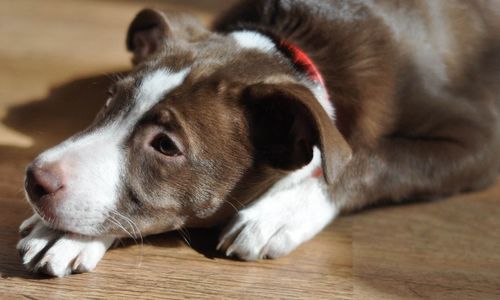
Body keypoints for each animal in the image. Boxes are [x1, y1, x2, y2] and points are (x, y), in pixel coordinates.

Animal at [16, 0, 500, 276]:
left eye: (166, 146)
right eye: (111, 100)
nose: (35, 180)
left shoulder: (479, 140)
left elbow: (364, 158)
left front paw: (280, 211)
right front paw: (60, 232)